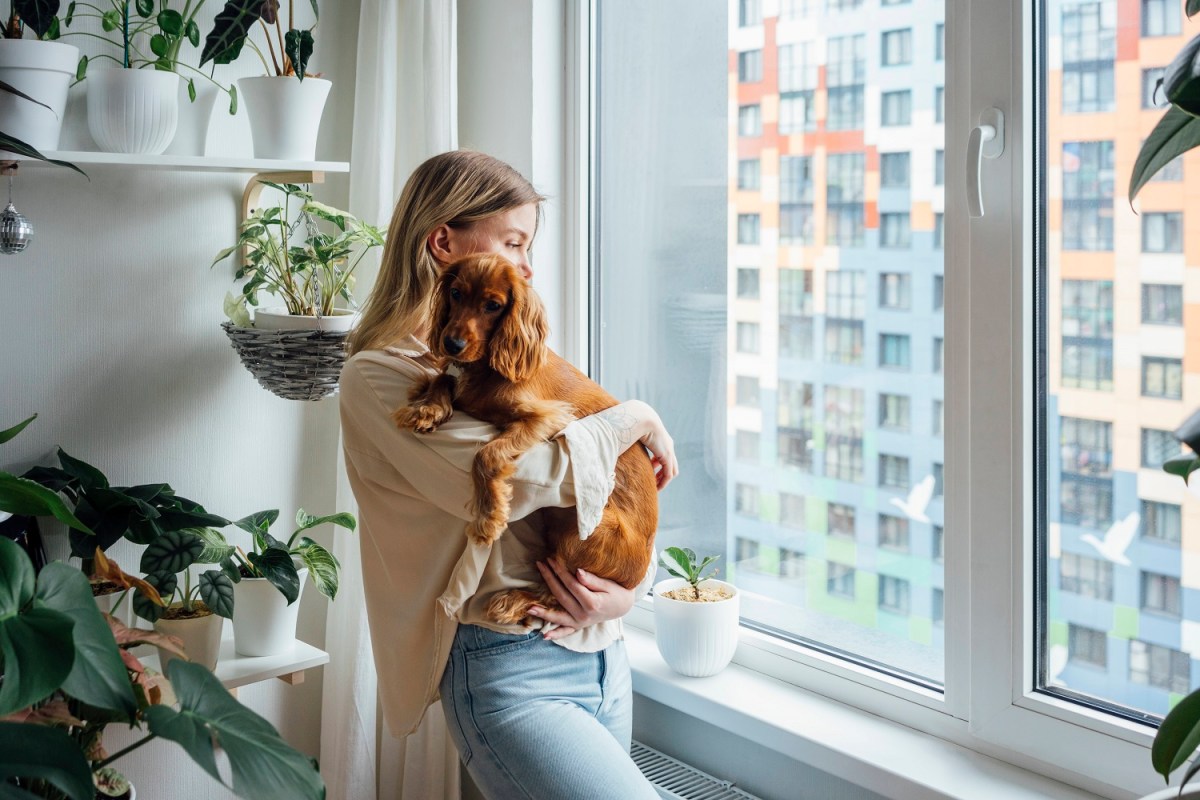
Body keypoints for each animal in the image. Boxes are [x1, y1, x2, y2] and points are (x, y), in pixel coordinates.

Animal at [391, 253, 657, 623]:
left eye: (493, 305)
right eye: (456, 293)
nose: (451, 344)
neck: (486, 367)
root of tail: (637, 577)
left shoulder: (547, 417)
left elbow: (486, 455)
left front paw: (488, 519)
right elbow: (445, 379)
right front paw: (427, 407)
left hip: (587, 531)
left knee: (560, 595)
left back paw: (513, 600)